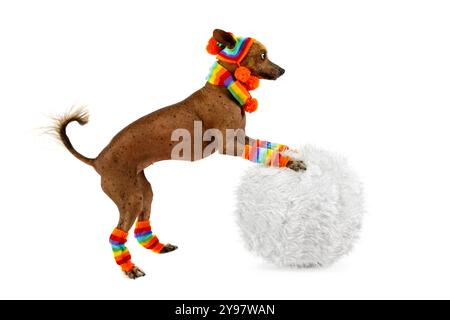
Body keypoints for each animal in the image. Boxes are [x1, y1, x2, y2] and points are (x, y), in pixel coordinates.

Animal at [52, 28, 306, 278]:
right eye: (263, 56)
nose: (282, 70)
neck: (224, 89)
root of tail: (97, 160)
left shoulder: (242, 139)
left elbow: (269, 146)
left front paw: (289, 152)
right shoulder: (228, 146)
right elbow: (265, 153)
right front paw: (292, 163)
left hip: (143, 191)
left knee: (140, 225)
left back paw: (159, 247)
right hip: (130, 198)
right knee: (116, 235)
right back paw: (130, 268)